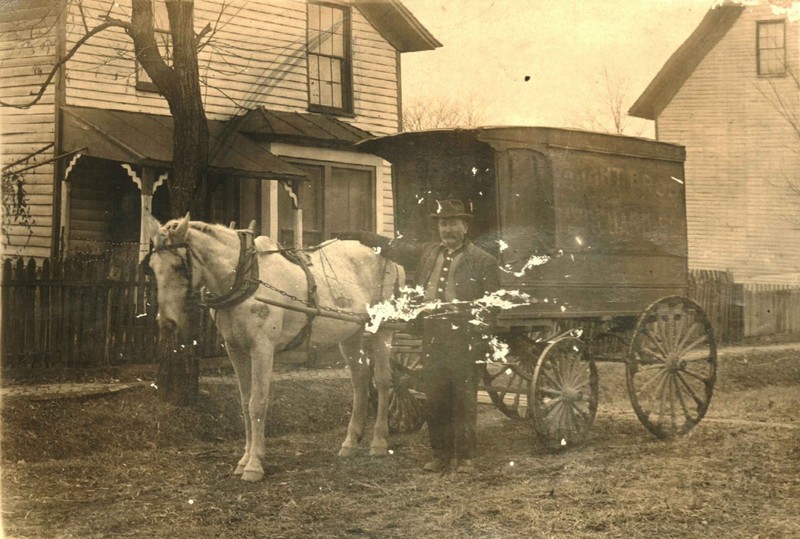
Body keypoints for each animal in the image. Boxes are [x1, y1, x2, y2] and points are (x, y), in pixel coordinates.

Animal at [144, 213, 400, 484]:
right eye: (152, 267)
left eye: (178, 266)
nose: (166, 324)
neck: (245, 276)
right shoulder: (235, 350)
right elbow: (245, 403)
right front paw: (244, 459)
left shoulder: (262, 348)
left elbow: (258, 402)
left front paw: (255, 465)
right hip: (351, 334)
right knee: (360, 381)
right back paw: (350, 442)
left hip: (383, 329)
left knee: (383, 381)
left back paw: (379, 441)